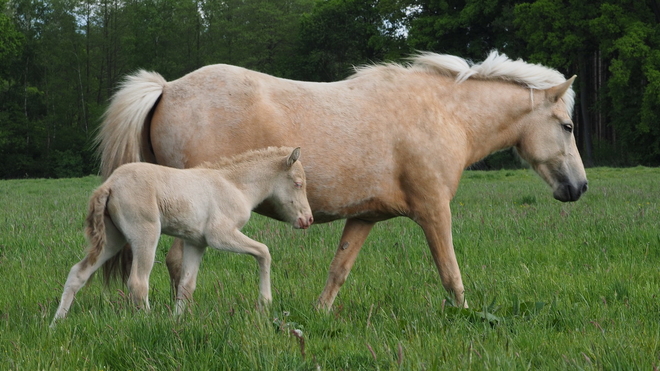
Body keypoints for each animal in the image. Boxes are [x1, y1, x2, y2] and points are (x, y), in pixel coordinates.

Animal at [96, 50, 588, 310]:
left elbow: (339, 270)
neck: (443, 113)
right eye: (567, 126)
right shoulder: (434, 210)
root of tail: (167, 87)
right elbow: (451, 273)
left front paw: (319, 315)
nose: (579, 188)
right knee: (177, 262)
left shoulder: (364, 218)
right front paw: (465, 317)